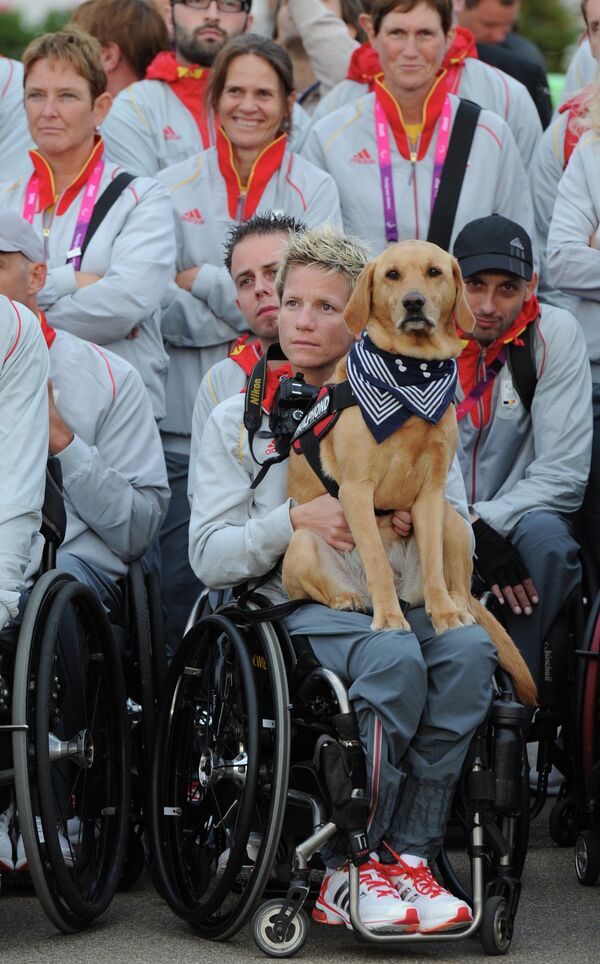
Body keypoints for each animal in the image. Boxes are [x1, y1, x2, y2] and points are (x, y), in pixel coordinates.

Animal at [284, 240, 536, 704]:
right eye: (392, 275)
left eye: (434, 272)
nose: (414, 302)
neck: (410, 377)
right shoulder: (357, 491)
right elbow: (377, 562)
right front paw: (387, 619)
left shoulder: (432, 494)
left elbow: (435, 566)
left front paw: (443, 615)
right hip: (302, 541)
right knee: (324, 589)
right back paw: (350, 598)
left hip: (454, 523)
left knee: (461, 588)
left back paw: (456, 608)